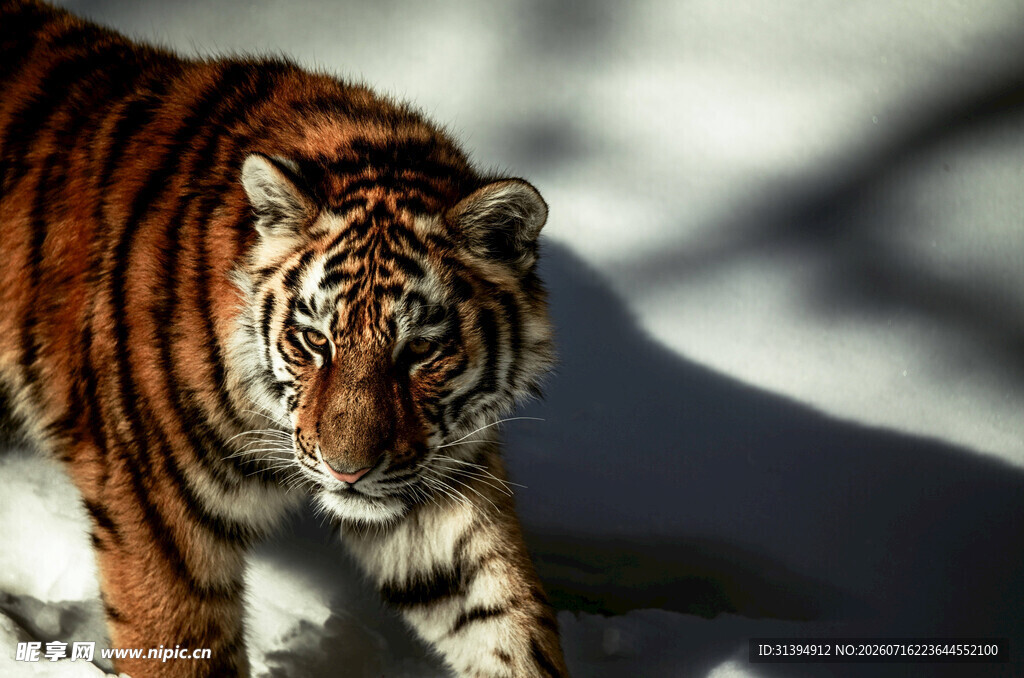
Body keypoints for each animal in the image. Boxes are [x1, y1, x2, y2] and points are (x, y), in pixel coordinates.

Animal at [0, 1, 569, 676]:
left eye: (420, 351)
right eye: (313, 341)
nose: (348, 474)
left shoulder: (441, 481)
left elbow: (509, 623)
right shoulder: (157, 523)